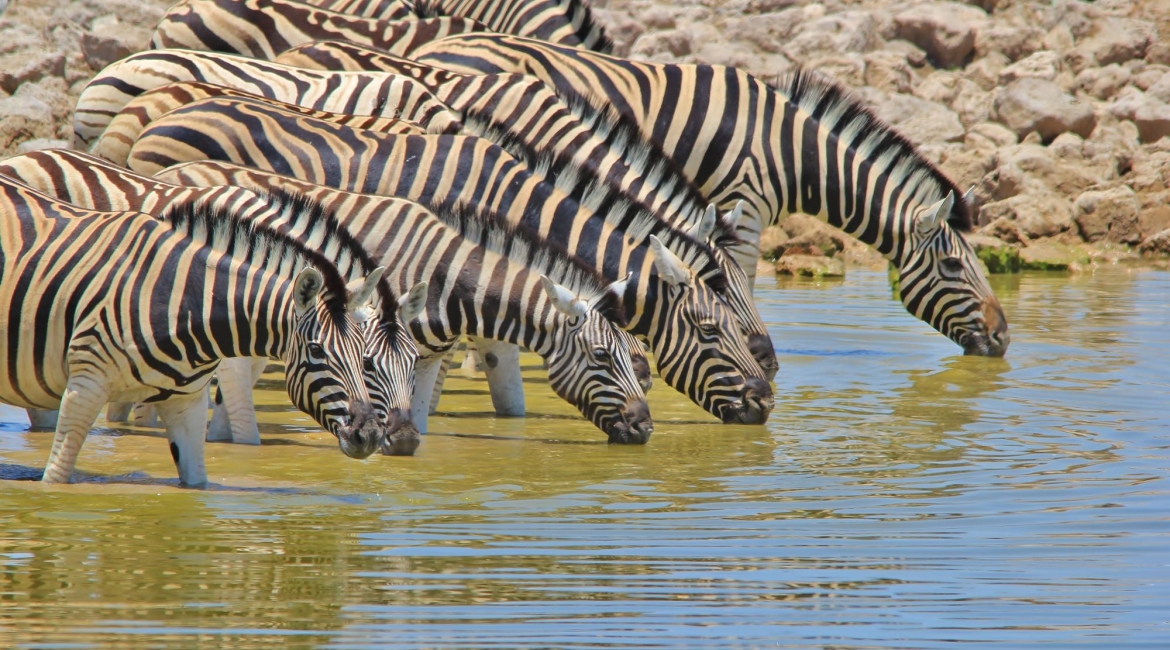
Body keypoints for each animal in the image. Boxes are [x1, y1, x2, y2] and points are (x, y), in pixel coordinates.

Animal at [411, 33, 1015, 357]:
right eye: (954, 268)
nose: (1004, 338)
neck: (791, 154)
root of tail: (441, 43)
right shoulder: (743, 206)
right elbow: (739, 282)